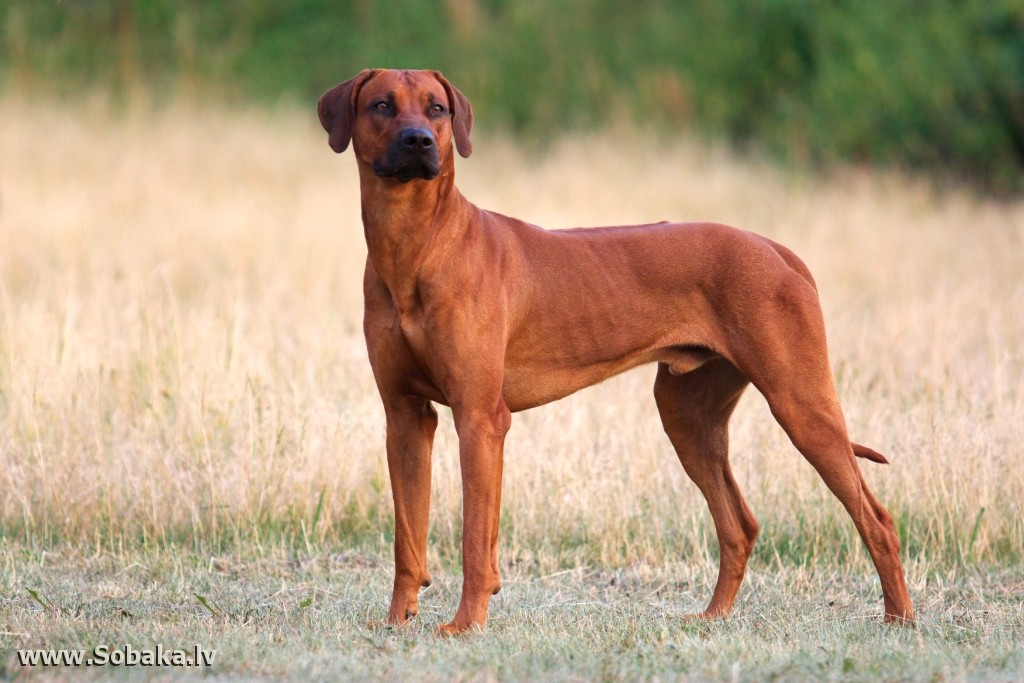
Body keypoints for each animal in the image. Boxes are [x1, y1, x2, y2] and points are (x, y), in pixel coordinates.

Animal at [315, 68, 917, 634]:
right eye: (382, 105)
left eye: (436, 109)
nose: (418, 140)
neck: (417, 243)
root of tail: (775, 248)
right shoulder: (405, 417)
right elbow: (407, 537)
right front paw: (397, 622)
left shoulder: (480, 418)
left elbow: (473, 539)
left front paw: (465, 626)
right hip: (688, 417)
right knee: (739, 525)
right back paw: (713, 618)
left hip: (801, 405)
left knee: (877, 520)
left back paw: (900, 619)